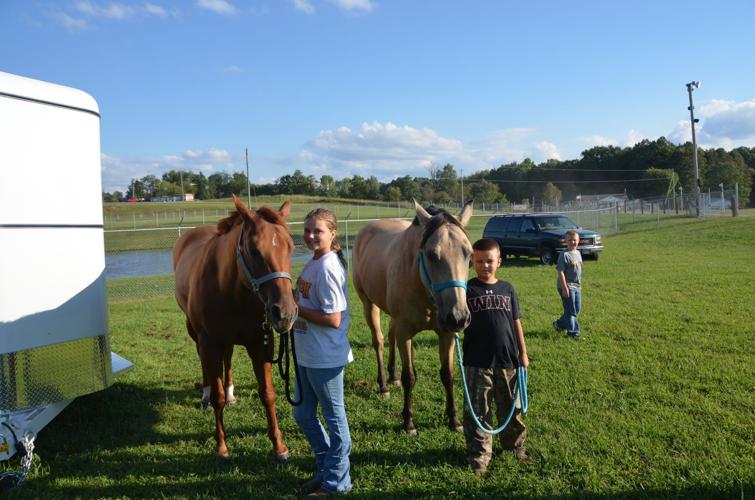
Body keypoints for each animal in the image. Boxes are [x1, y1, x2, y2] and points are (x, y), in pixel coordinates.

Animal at [174, 194, 298, 458]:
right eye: (253, 249)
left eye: (291, 247)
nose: (285, 313)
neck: (230, 289)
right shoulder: (209, 341)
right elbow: (217, 398)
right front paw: (221, 446)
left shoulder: (261, 344)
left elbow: (267, 393)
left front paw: (279, 446)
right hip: (196, 333)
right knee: (204, 363)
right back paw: (206, 393)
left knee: (228, 358)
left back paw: (231, 393)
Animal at [352, 200, 472, 434]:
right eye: (432, 255)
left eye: (469, 254)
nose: (458, 317)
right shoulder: (405, 331)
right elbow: (410, 376)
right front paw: (408, 422)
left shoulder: (446, 334)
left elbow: (448, 375)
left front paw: (454, 420)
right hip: (369, 305)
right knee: (379, 341)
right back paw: (383, 385)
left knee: (390, 337)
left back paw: (393, 377)